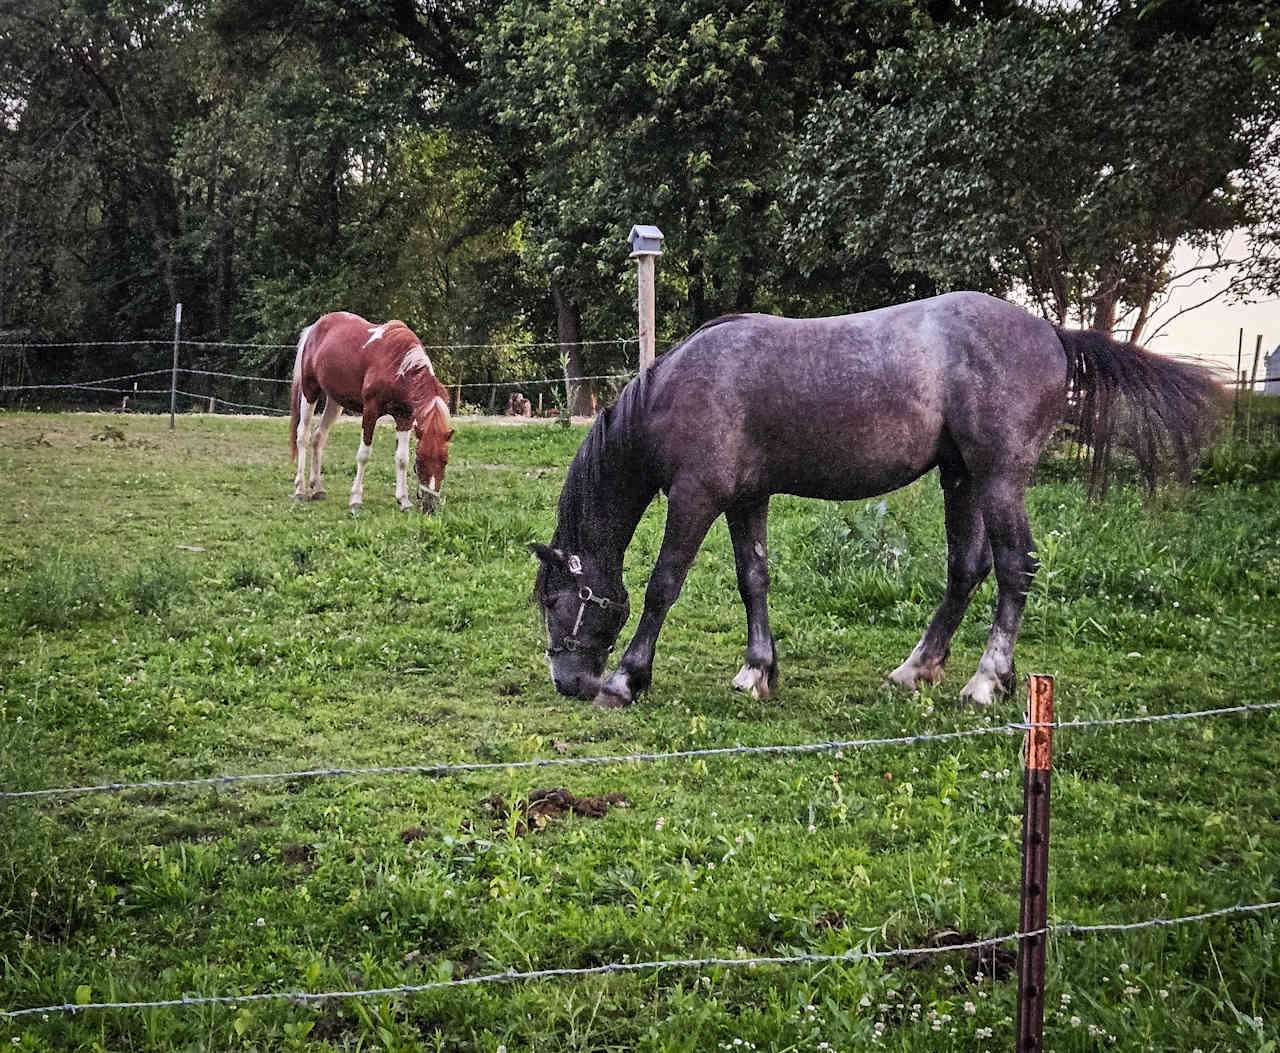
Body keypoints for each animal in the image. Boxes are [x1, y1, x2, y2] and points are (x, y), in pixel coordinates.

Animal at [290, 310, 455, 511]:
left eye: (445, 460)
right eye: (420, 459)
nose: (430, 505)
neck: (398, 366)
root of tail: (313, 329)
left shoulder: (405, 419)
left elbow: (402, 459)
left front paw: (404, 500)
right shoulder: (370, 412)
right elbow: (364, 455)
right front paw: (355, 499)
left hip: (334, 402)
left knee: (318, 437)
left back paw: (318, 489)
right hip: (310, 392)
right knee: (302, 436)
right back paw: (300, 490)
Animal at [527, 287, 1218, 706]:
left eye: (557, 602)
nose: (567, 681)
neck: (678, 389)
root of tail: (1050, 332)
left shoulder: (699, 495)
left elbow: (663, 583)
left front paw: (626, 678)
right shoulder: (748, 498)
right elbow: (754, 579)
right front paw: (757, 671)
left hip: (998, 478)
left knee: (1014, 567)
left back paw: (986, 679)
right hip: (960, 478)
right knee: (966, 569)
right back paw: (917, 668)